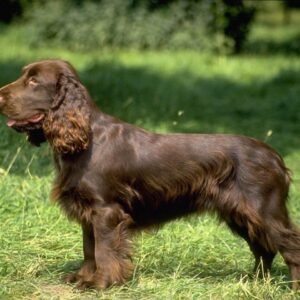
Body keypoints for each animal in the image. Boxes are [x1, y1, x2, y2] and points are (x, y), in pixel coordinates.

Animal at [0, 59, 300, 290]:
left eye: (34, 81)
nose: (0, 95)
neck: (86, 139)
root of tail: (276, 158)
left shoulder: (106, 210)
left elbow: (103, 250)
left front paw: (101, 283)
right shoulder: (88, 211)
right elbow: (88, 248)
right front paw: (83, 278)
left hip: (264, 210)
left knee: (290, 246)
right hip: (240, 214)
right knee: (264, 248)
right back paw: (254, 282)